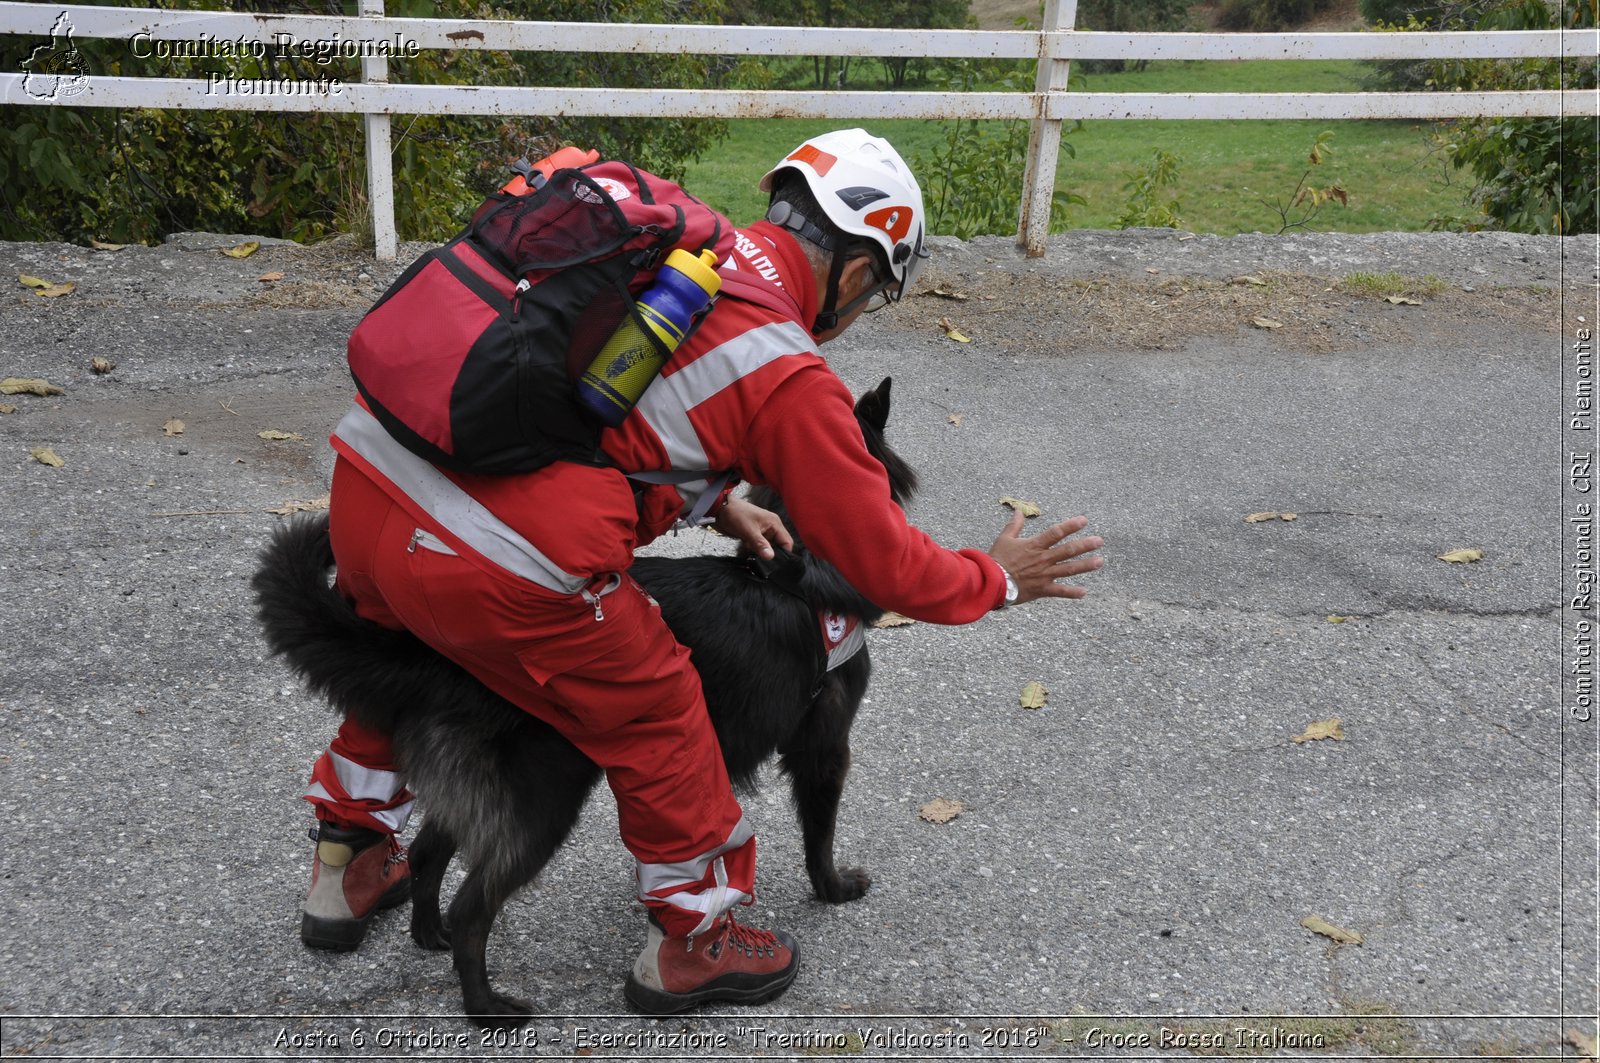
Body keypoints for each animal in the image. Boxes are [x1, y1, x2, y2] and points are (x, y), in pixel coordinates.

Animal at [256, 377, 921, 1024]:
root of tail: (445, 660)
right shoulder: (824, 748)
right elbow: (819, 833)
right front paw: (834, 888)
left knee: (424, 854)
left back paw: (429, 933)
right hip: (544, 802)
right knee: (475, 905)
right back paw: (485, 1006)